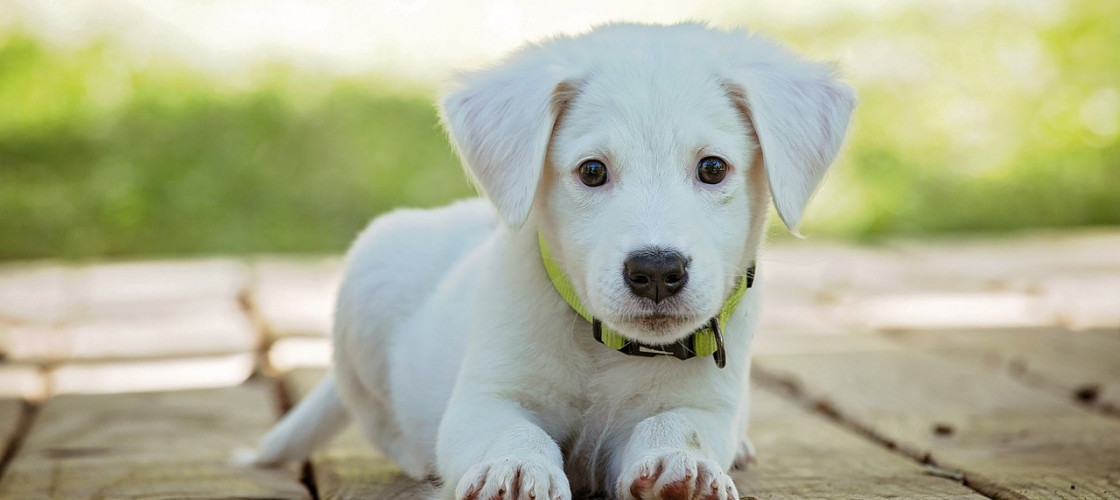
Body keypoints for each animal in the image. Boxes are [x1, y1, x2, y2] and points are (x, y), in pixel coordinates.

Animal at [252, 22, 846, 500]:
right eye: (592, 171)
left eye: (713, 168)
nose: (656, 272)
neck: (605, 349)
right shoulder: (485, 397)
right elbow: (514, 430)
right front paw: (513, 469)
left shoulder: (707, 406)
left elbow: (677, 425)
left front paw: (682, 467)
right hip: (369, 282)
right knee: (384, 426)